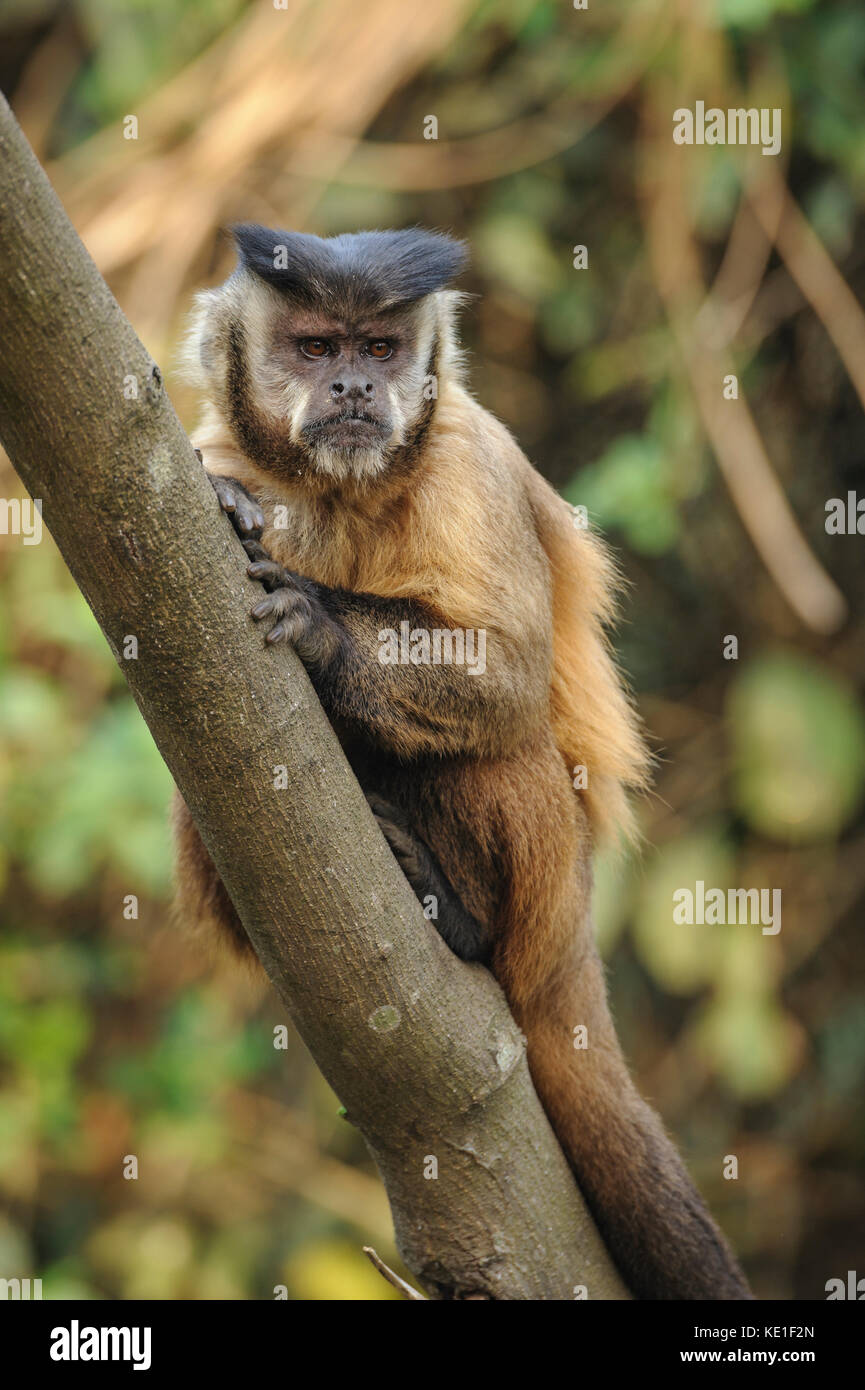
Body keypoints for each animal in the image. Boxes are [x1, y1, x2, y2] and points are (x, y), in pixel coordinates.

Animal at [173, 222, 756, 1295]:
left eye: (379, 350)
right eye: (315, 349)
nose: (355, 388)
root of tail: (572, 940)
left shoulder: (465, 461)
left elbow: (510, 677)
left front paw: (320, 625)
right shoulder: (207, 450)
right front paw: (241, 513)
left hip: (550, 890)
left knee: (498, 746)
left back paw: (460, 916)